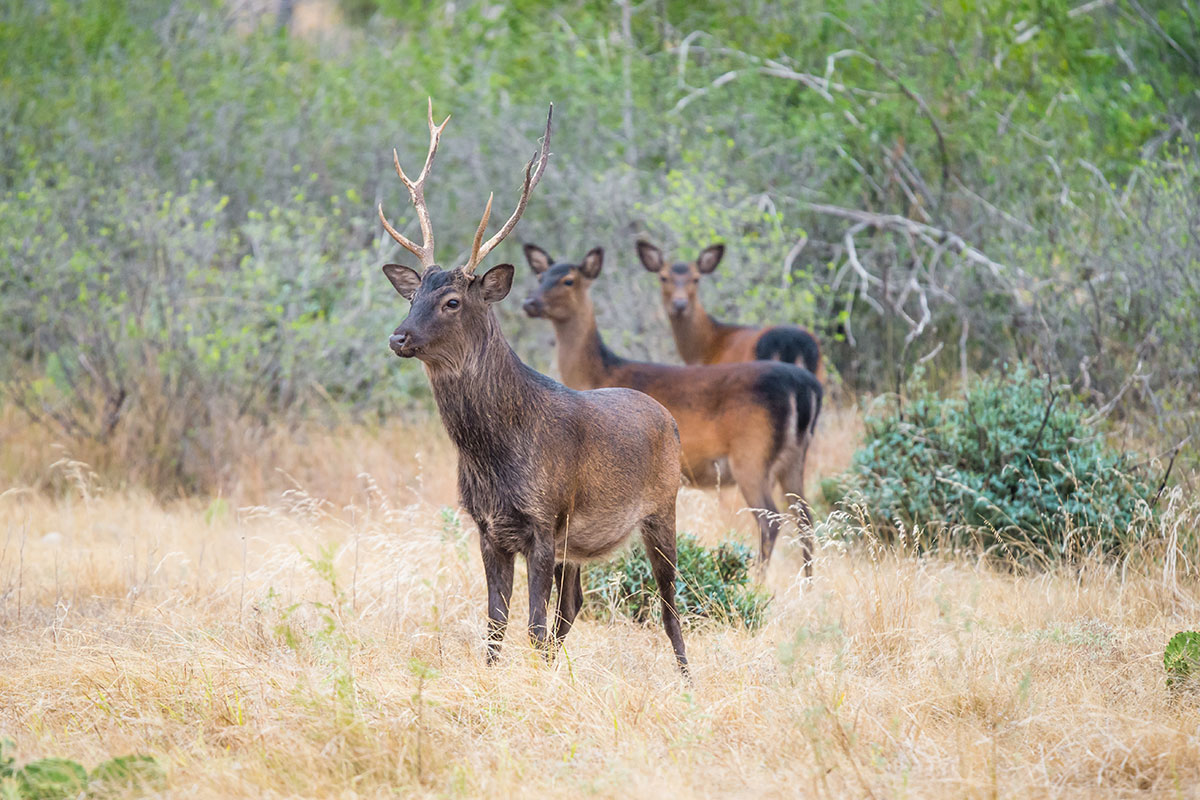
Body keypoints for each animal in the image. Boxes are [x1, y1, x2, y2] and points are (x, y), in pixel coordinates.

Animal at [379, 101, 691, 676]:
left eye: (453, 300)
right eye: (413, 296)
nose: (399, 336)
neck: (494, 453)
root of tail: (667, 415)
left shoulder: (544, 519)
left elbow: (532, 626)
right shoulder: (488, 527)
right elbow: (497, 625)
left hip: (663, 506)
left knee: (668, 605)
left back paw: (686, 679)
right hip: (580, 545)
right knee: (575, 606)